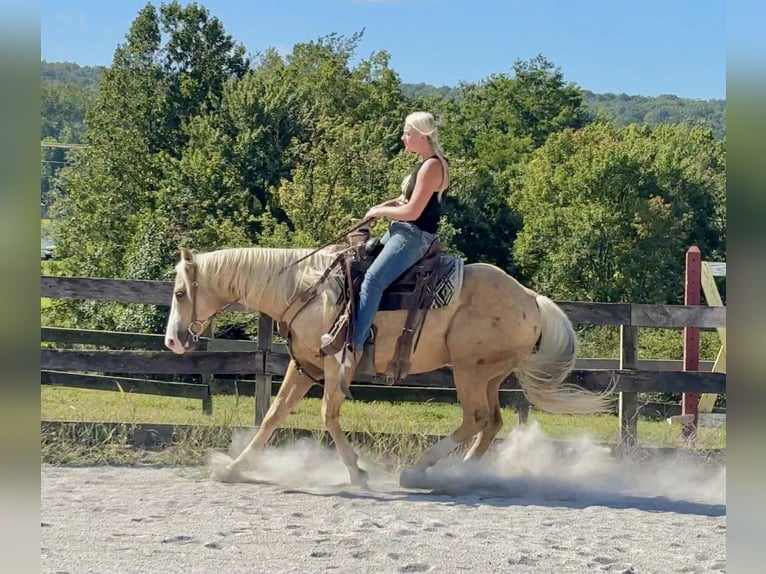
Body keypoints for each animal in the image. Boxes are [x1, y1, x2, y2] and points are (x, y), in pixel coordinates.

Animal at [164, 246, 612, 488]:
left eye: (181, 293)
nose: (171, 341)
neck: (305, 290)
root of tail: (531, 298)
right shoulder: (304, 365)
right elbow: (274, 416)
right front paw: (233, 468)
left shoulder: (334, 366)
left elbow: (328, 415)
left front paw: (356, 472)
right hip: (490, 374)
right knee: (491, 423)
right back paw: (461, 472)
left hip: (470, 370)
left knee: (477, 418)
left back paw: (420, 471)